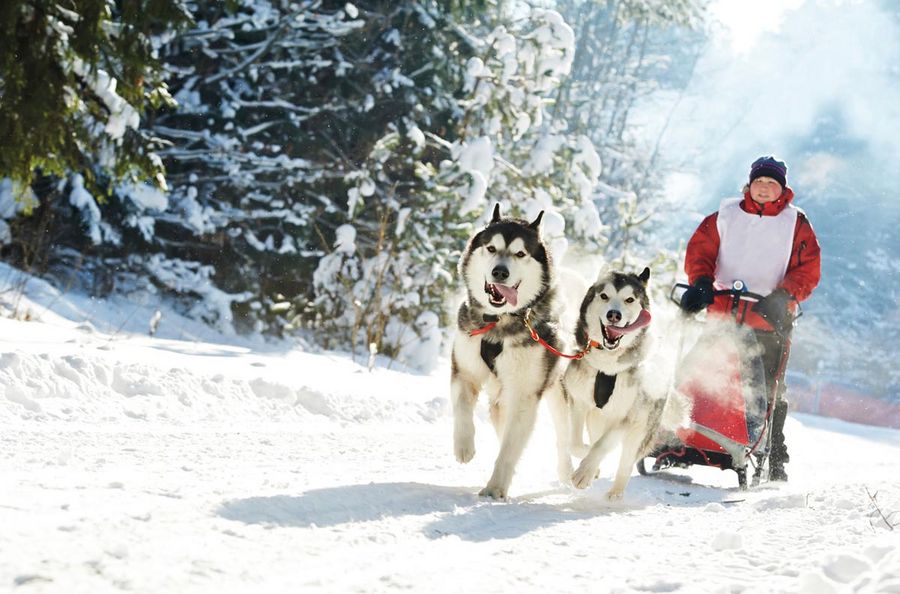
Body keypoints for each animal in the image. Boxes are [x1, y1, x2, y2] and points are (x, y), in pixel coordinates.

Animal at [448, 204, 564, 500]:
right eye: (491, 248)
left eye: (520, 253)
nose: (500, 272)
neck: (498, 323)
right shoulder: (464, 371)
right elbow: (462, 408)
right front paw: (464, 446)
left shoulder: (524, 395)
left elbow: (510, 448)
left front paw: (495, 487)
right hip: (500, 402)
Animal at [564, 268, 688, 500]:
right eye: (604, 296)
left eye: (629, 299)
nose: (614, 314)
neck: (608, 368)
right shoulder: (579, 402)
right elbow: (576, 444)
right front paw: (590, 465)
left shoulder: (629, 418)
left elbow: (603, 445)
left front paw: (584, 473)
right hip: (597, 419)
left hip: (640, 430)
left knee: (627, 462)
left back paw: (616, 493)